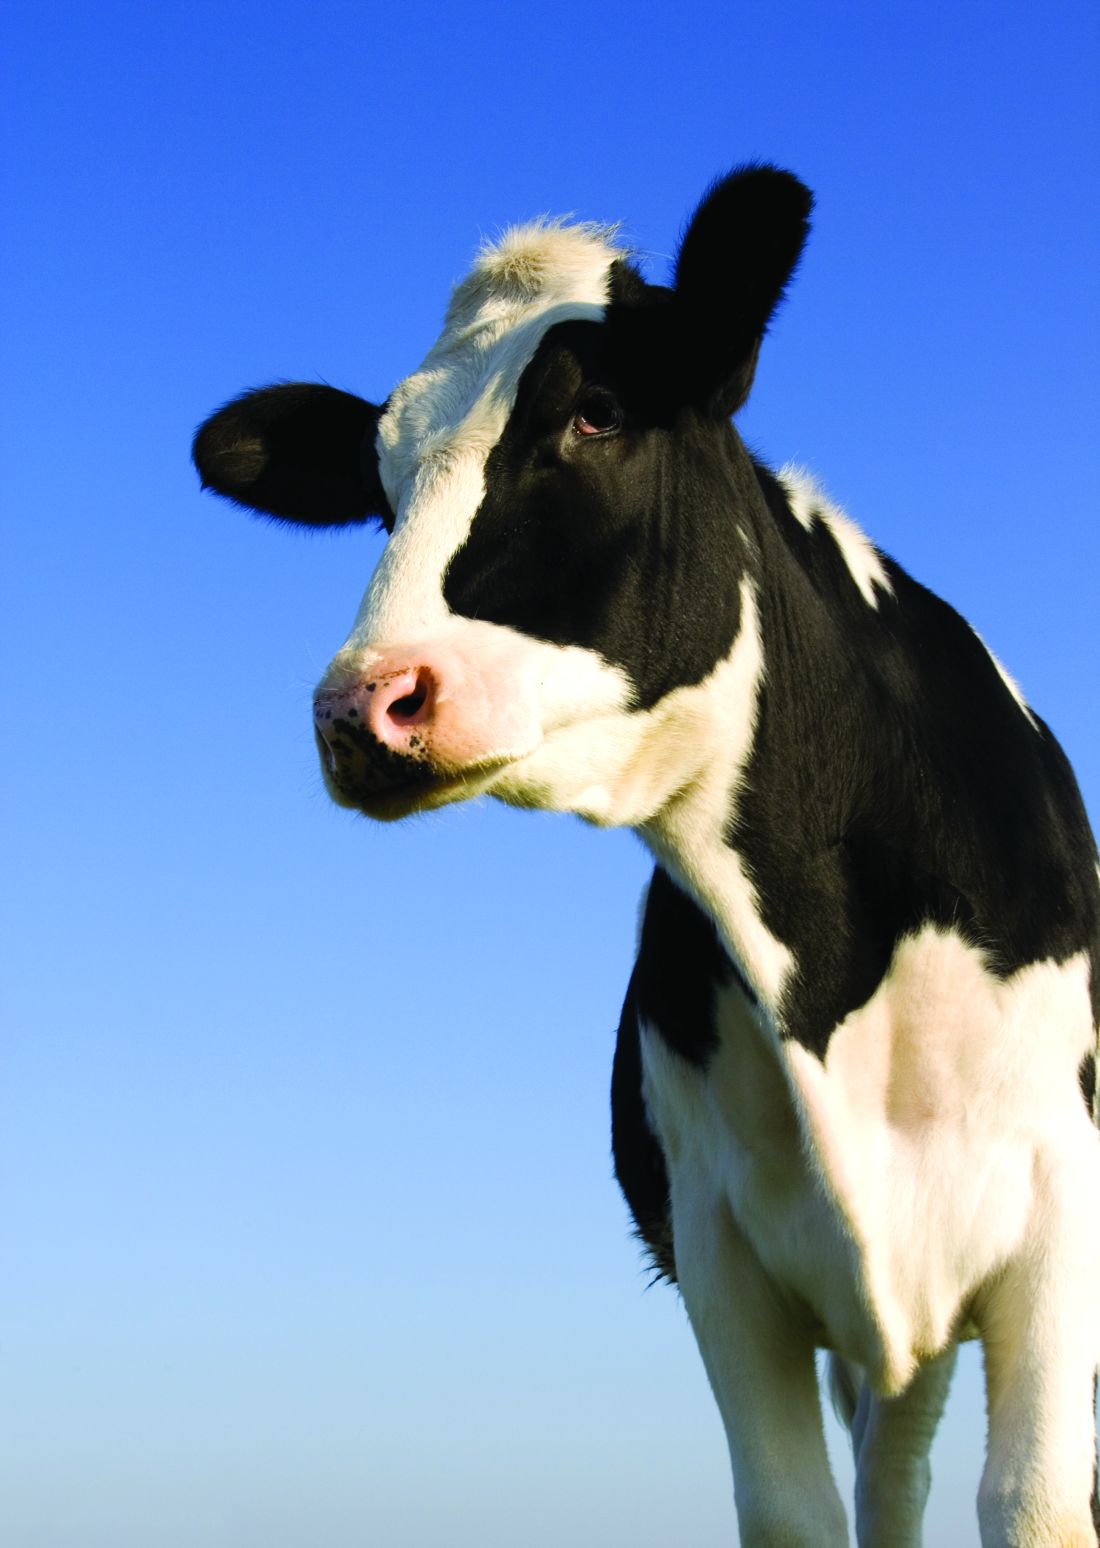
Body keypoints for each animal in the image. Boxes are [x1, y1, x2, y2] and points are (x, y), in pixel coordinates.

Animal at [193, 166, 1100, 1546]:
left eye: (595, 414)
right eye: (379, 485)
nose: (361, 709)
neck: (826, 962)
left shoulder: (1060, 1207)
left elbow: (1038, 1498)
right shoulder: (716, 1245)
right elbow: (789, 1509)